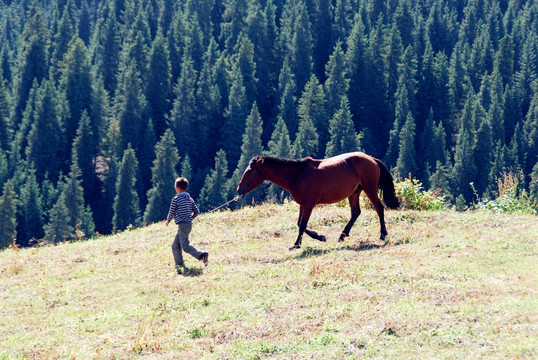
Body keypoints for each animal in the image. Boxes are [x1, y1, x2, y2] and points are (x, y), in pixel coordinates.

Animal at [236, 152, 398, 250]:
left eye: (250, 171)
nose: (239, 189)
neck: (298, 174)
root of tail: (372, 159)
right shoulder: (302, 204)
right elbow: (299, 224)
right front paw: (320, 237)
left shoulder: (309, 204)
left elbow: (302, 225)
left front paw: (296, 245)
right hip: (354, 192)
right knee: (355, 213)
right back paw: (342, 236)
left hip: (369, 188)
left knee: (379, 208)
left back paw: (382, 234)